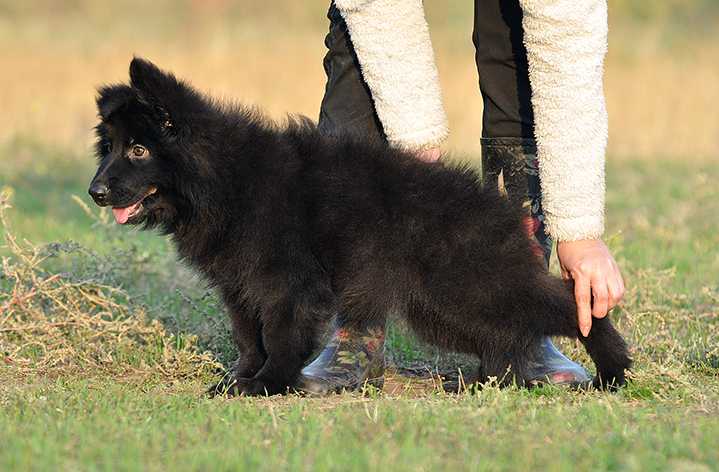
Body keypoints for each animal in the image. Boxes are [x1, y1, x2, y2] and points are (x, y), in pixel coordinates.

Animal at [88, 59, 632, 396]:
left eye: (139, 150)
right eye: (109, 148)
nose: (95, 191)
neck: (225, 179)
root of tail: (498, 209)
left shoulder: (289, 285)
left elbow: (279, 337)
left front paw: (267, 385)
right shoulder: (239, 286)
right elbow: (248, 338)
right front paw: (239, 380)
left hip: (469, 288)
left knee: (567, 307)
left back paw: (613, 367)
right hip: (448, 306)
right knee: (507, 332)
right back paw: (488, 382)